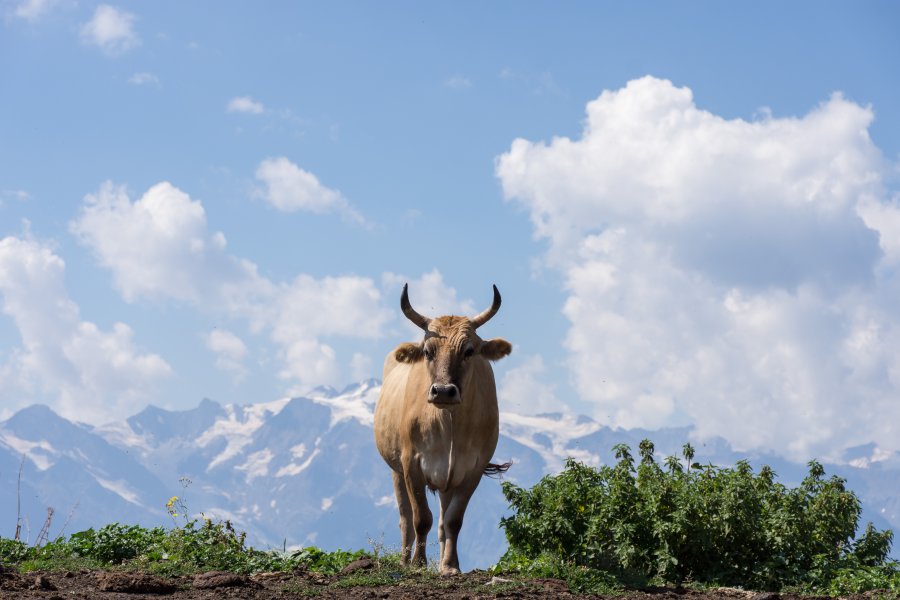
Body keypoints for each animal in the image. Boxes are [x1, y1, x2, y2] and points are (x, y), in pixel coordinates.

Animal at [374, 284, 512, 576]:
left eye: (469, 350)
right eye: (428, 351)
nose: (444, 391)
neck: (448, 423)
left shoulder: (472, 470)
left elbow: (452, 521)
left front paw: (449, 566)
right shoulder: (411, 464)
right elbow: (420, 519)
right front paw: (418, 564)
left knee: (442, 524)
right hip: (395, 470)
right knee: (405, 519)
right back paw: (404, 560)